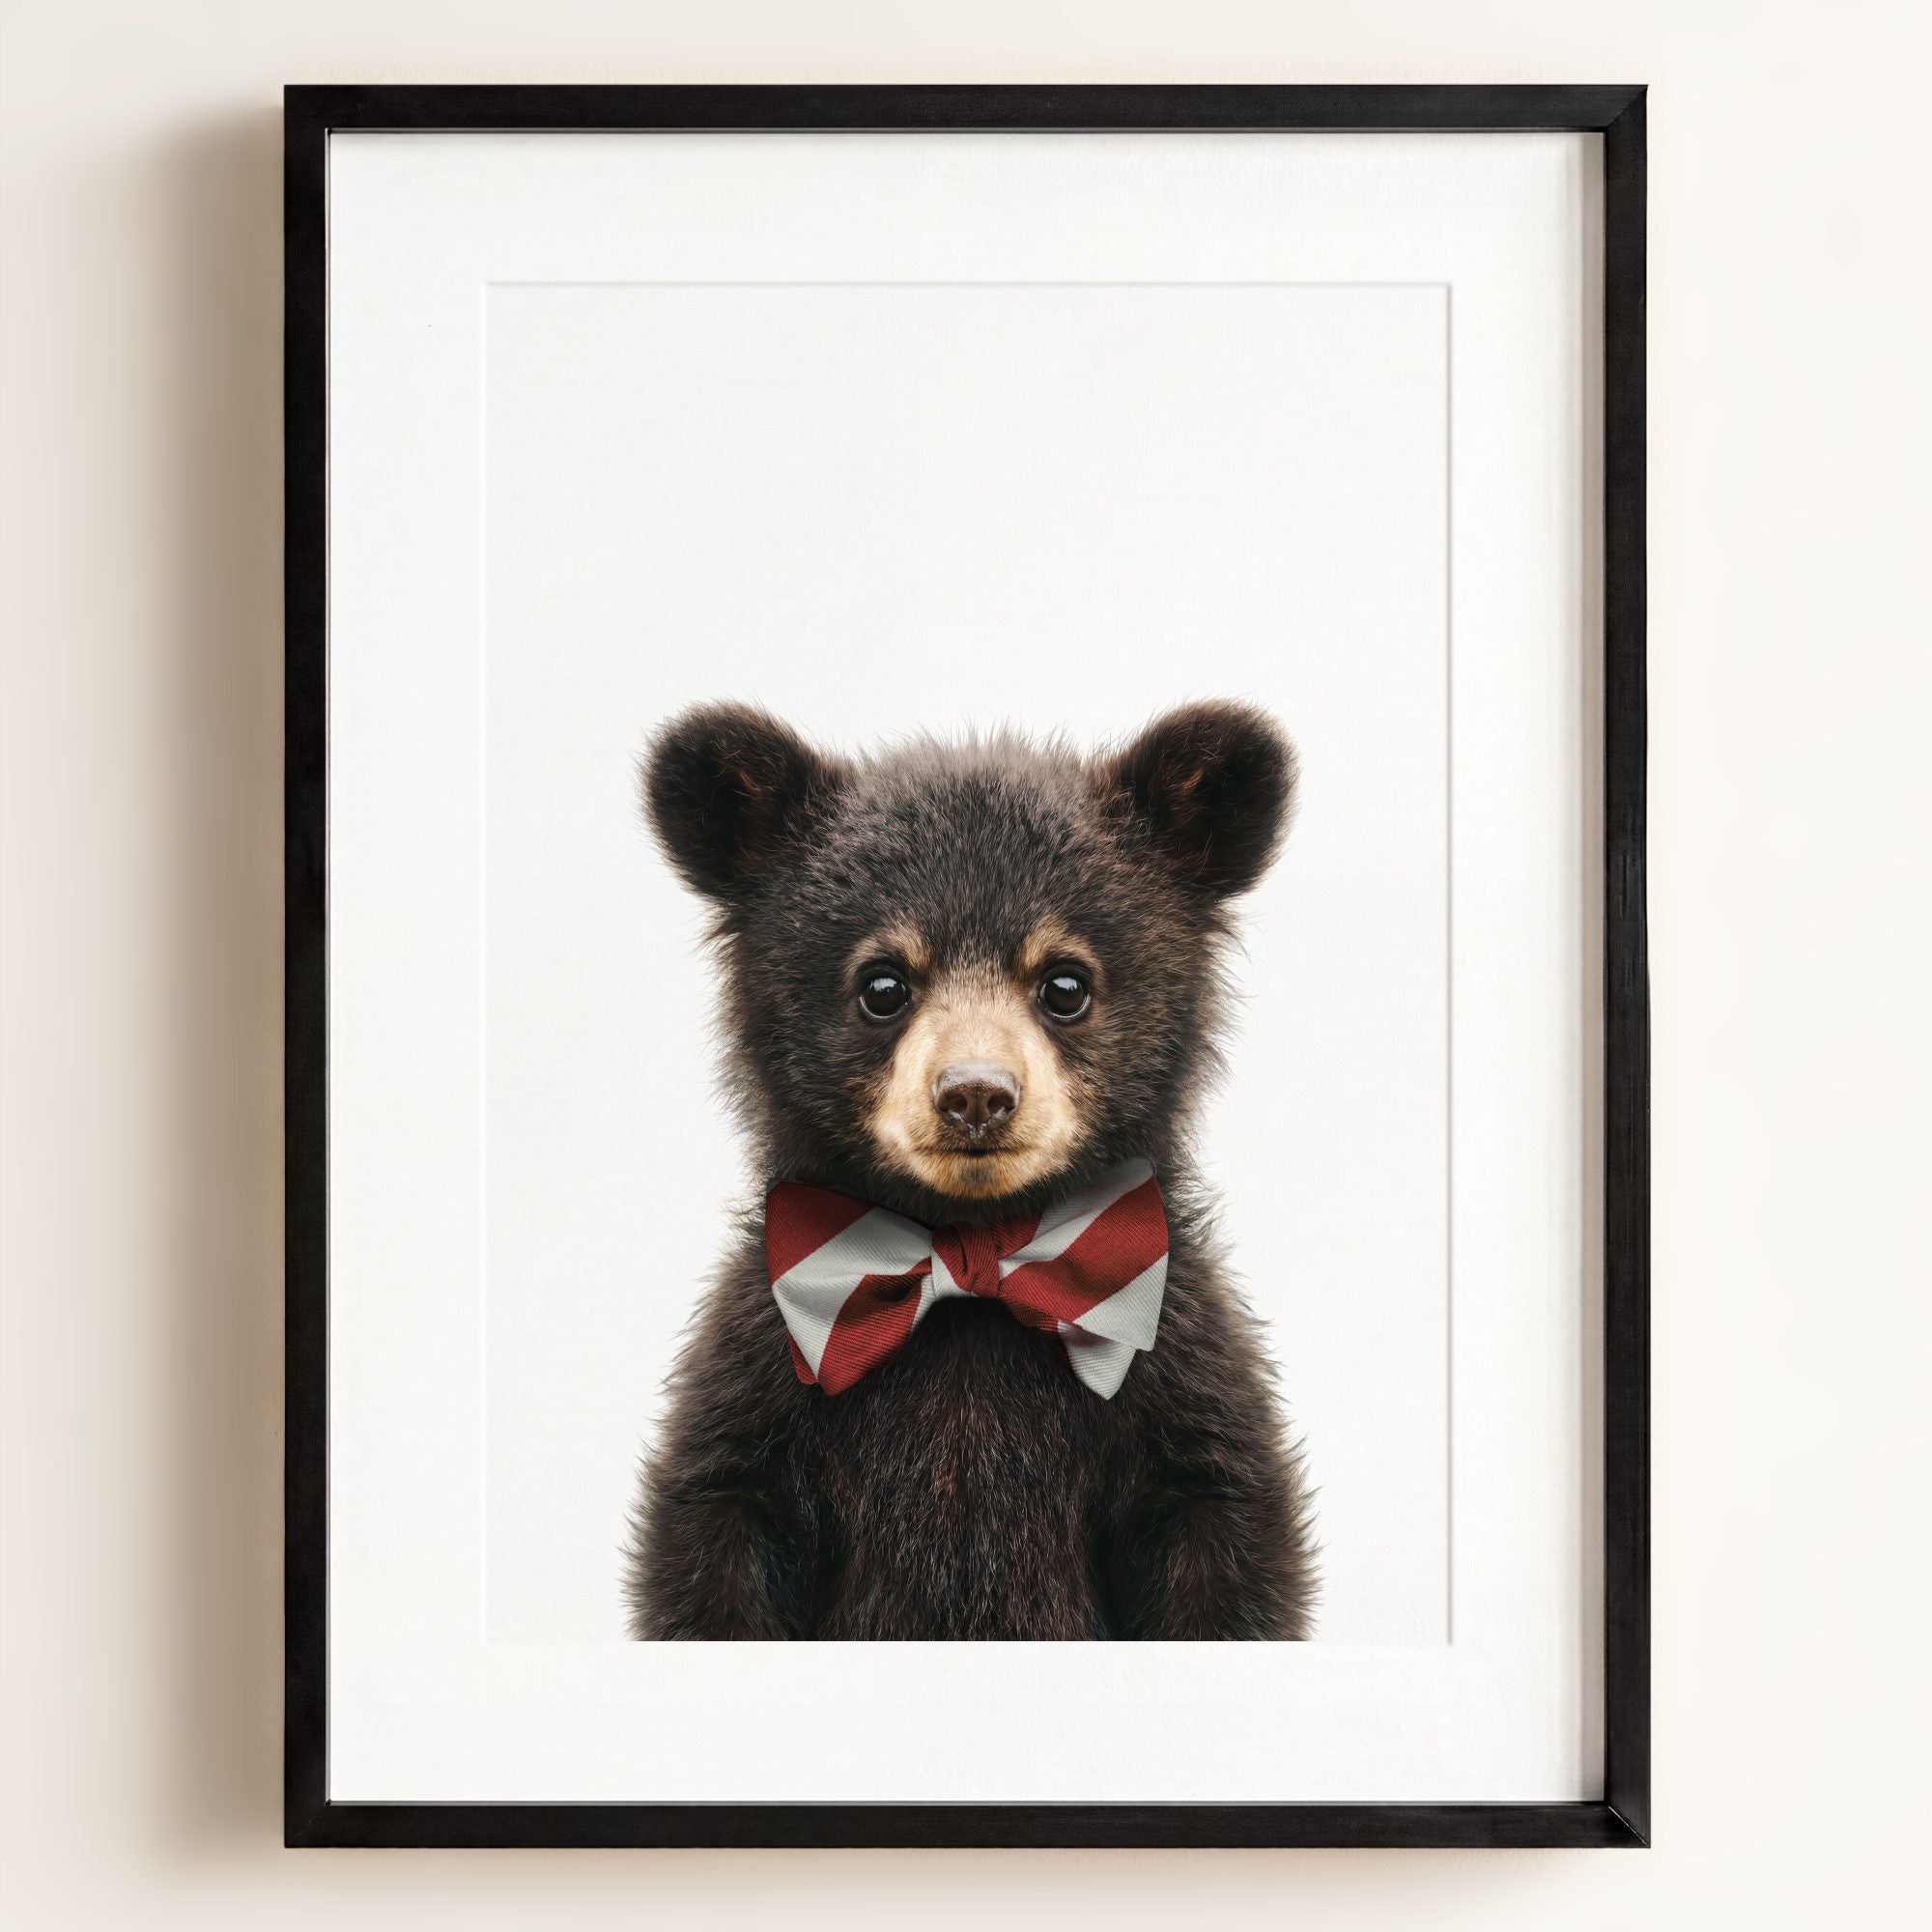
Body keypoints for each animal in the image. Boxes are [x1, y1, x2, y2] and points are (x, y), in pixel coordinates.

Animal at [624, 700, 1316, 1640]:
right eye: (883, 985)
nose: (977, 1095)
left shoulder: (1180, 1382)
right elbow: (715, 1543)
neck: (972, 1252)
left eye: (1066, 983)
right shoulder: (759, 1387)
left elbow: (1223, 1542)